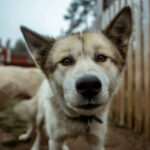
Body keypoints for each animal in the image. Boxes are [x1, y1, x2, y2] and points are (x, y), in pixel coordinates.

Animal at [19, 6, 132, 149]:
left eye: (101, 57)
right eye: (66, 61)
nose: (89, 85)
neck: (80, 119)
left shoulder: (96, 141)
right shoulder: (55, 140)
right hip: (40, 115)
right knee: (37, 129)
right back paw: (32, 141)